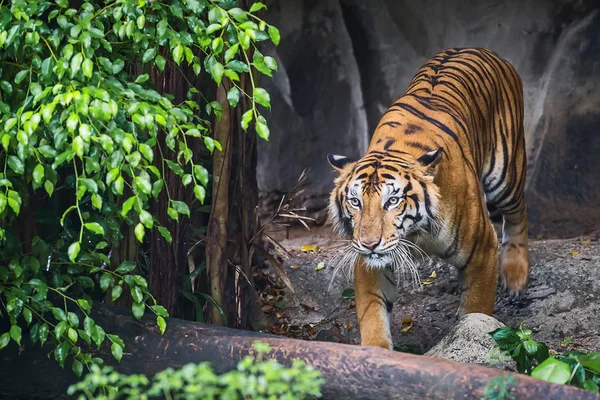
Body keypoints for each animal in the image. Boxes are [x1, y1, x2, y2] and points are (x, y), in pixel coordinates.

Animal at [328, 47, 528, 350]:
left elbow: (476, 308)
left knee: (519, 213)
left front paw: (470, 333)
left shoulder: (482, 247)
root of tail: (481, 49)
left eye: (392, 201)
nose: (369, 243)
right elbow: (372, 312)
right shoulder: (369, 260)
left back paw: (515, 275)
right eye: (355, 202)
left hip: (505, 173)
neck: (414, 233)